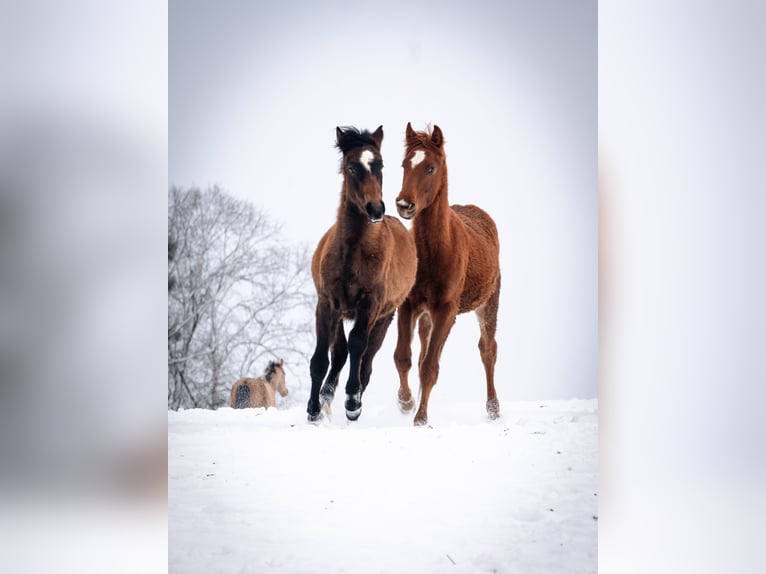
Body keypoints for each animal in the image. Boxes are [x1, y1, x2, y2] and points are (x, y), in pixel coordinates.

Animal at [307, 126, 417, 422]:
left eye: (380, 165)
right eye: (351, 167)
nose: (375, 209)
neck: (353, 252)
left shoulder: (371, 305)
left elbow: (358, 345)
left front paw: (352, 401)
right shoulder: (327, 303)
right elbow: (320, 359)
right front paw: (313, 409)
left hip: (383, 320)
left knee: (365, 361)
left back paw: (350, 399)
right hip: (342, 313)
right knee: (340, 354)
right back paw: (326, 396)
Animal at [394, 122, 501, 426]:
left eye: (430, 167)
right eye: (404, 164)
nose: (404, 205)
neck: (434, 252)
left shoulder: (446, 310)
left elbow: (430, 366)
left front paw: (420, 417)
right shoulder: (409, 305)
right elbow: (404, 358)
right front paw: (406, 402)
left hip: (488, 303)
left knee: (488, 349)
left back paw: (493, 409)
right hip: (426, 316)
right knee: (419, 352)